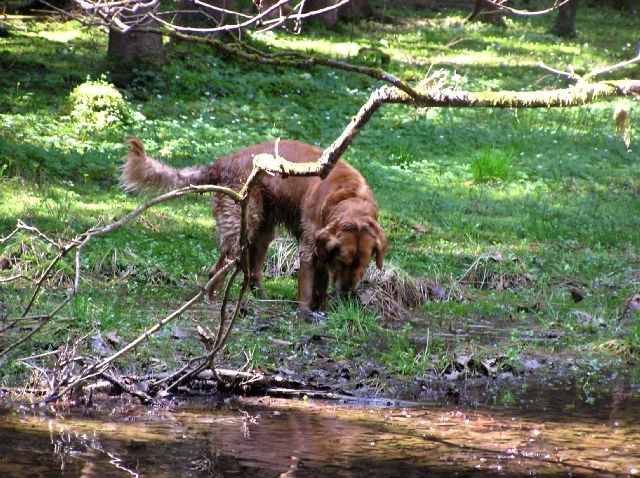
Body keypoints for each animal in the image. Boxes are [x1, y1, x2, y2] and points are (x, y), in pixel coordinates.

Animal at [122, 138, 388, 314]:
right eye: (343, 261)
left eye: (364, 264)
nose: (347, 292)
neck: (347, 196)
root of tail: (220, 163)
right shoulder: (310, 246)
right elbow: (307, 286)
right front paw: (304, 314)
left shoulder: (323, 252)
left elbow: (320, 286)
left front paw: (320, 308)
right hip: (244, 224)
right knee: (218, 269)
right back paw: (215, 303)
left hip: (263, 228)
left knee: (253, 270)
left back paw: (262, 299)